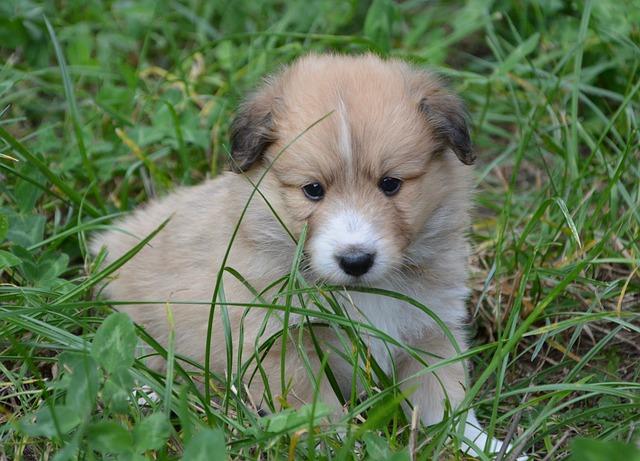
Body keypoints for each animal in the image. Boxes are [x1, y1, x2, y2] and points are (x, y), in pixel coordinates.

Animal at [92, 53, 516, 456]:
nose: (356, 260)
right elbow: (320, 411)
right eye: (313, 190)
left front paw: (482, 445)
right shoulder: (279, 348)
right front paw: (346, 446)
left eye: (391, 184)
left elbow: (447, 400)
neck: (362, 293)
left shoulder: (432, 330)